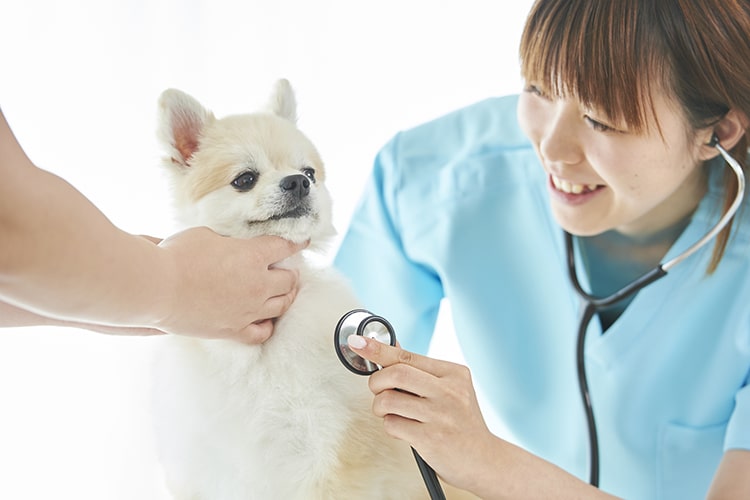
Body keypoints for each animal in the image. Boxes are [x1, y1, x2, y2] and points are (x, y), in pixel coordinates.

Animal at [151, 80, 476, 499]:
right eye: (244, 179)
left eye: (308, 171)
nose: (298, 182)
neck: (259, 350)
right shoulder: (206, 470)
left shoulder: (323, 455)